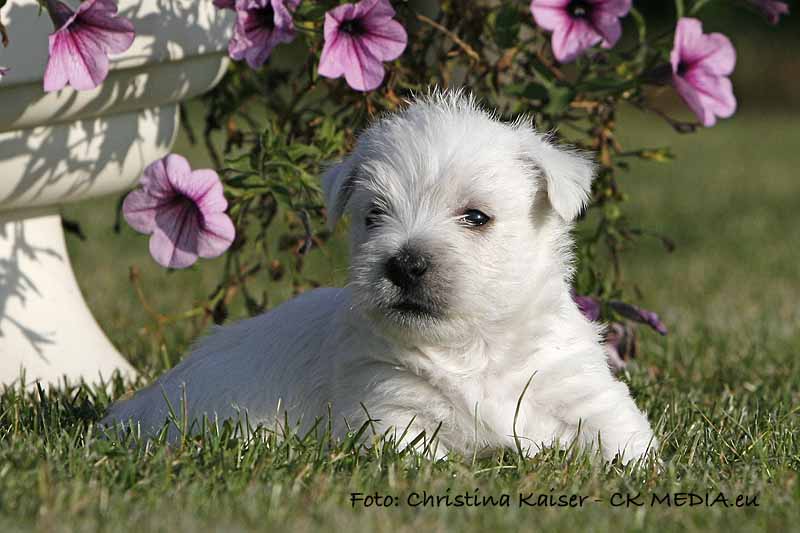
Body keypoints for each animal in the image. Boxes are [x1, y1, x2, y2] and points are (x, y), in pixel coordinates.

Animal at [103, 89, 656, 460]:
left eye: (476, 216)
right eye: (374, 215)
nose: (405, 263)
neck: (474, 350)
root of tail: (135, 409)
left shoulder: (584, 392)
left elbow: (629, 443)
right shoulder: (390, 411)